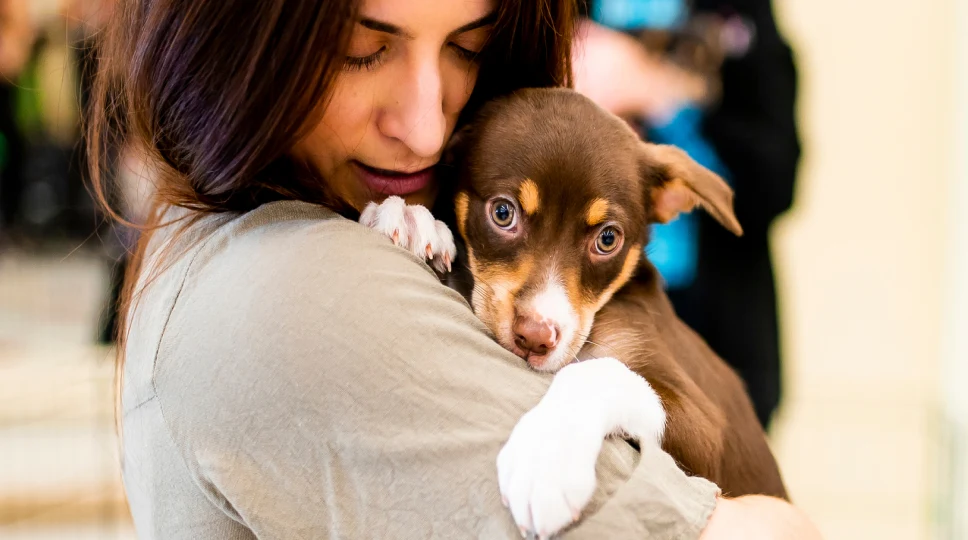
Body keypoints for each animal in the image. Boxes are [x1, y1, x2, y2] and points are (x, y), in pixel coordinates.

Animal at [446, 87, 788, 502]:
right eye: (502, 213)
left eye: (608, 239)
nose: (535, 337)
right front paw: (412, 223)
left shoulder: (711, 433)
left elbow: (603, 372)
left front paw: (547, 458)